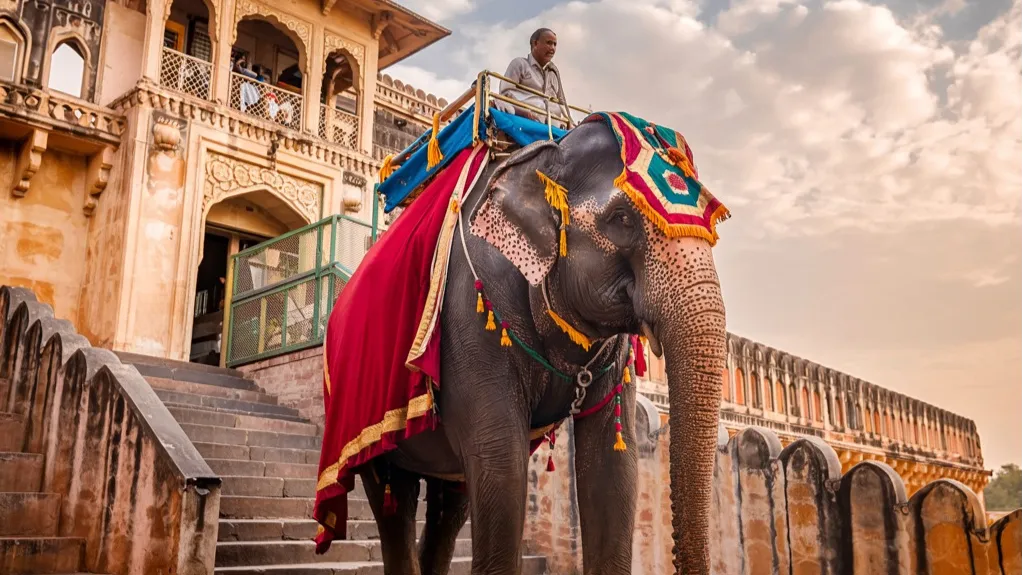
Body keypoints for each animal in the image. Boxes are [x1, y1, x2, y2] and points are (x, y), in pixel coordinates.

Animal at [358, 116, 728, 576]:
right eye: (621, 218)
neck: (547, 152)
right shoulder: (470, 316)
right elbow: (501, 462)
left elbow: (614, 469)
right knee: (393, 500)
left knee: (450, 504)